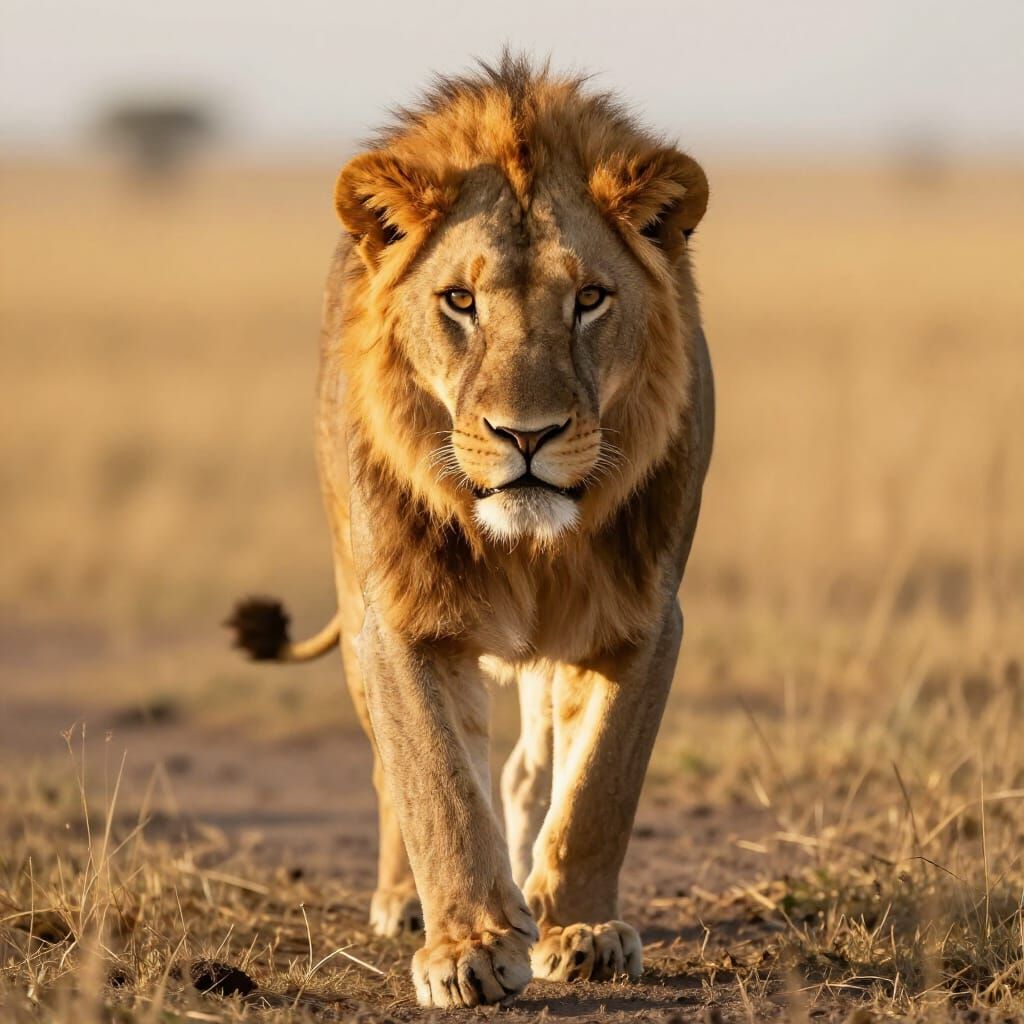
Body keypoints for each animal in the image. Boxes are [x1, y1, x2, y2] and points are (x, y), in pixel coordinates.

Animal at [226, 54, 713, 1008]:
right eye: (459, 301)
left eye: (590, 298)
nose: (527, 436)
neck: (530, 543)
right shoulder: (401, 616)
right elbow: (437, 784)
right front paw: (469, 948)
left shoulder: (643, 615)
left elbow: (599, 788)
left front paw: (581, 930)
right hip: (353, 602)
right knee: (395, 770)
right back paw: (409, 902)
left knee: (529, 769)